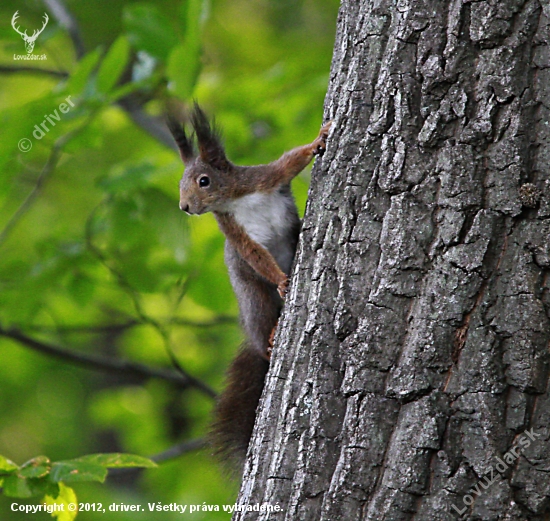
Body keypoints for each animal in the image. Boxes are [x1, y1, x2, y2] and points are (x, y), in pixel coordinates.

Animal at [168, 104, 332, 468]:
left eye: (203, 181)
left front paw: (320, 138)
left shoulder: (264, 178)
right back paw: (269, 338)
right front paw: (282, 280)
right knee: (262, 323)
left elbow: (290, 161)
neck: (235, 200)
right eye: (181, 184)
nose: (185, 207)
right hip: (254, 299)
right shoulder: (235, 232)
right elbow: (255, 257)